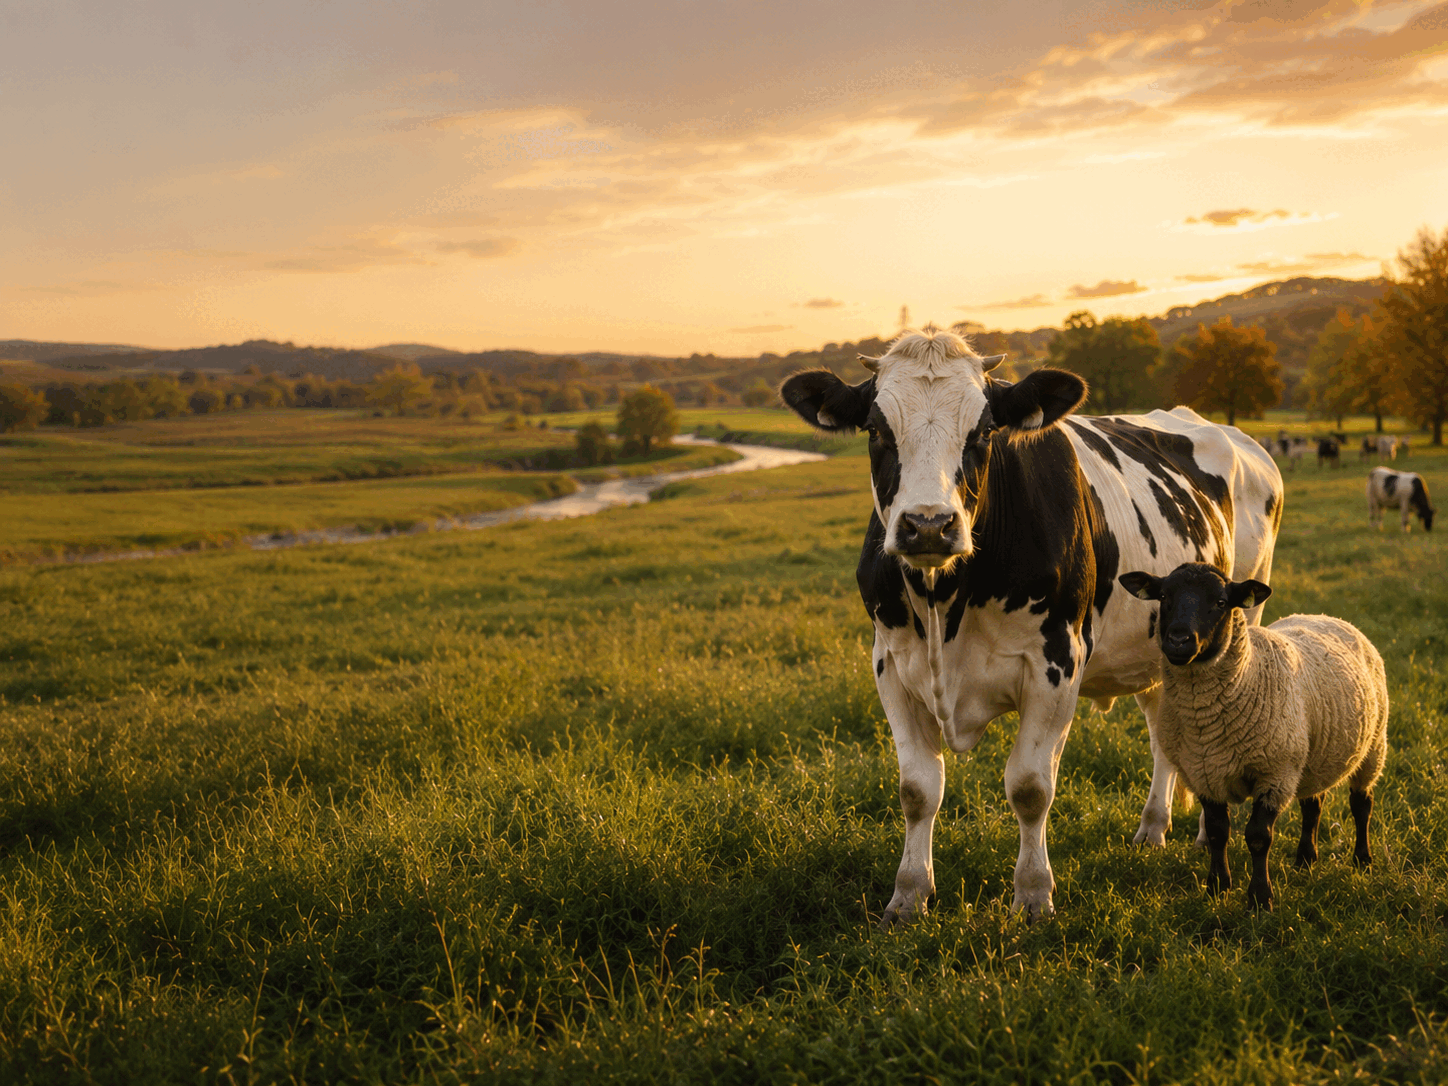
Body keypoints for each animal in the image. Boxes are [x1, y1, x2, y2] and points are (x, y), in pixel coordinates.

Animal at [780, 329, 1282, 923]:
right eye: (877, 431)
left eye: (983, 432)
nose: (928, 524)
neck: (945, 602)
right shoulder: (891, 664)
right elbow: (917, 789)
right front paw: (908, 895)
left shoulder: (1057, 663)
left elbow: (1029, 787)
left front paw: (1034, 895)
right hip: (1161, 647)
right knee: (1164, 730)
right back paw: (1154, 827)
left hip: (1238, 621)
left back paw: (1205, 830)